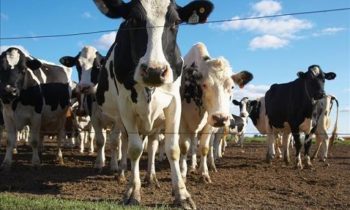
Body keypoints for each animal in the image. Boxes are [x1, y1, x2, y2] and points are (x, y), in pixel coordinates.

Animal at [91, 0, 215, 207]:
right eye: (133, 20)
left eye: (176, 22)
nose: (154, 71)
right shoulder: (126, 106)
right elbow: (134, 149)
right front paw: (133, 192)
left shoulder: (174, 103)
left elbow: (172, 149)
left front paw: (182, 194)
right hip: (120, 119)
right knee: (123, 143)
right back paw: (122, 173)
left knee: (152, 144)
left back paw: (151, 177)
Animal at [179, 42, 253, 182]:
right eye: (204, 85)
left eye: (232, 86)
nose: (220, 118)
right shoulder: (181, 122)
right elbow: (184, 148)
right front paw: (181, 174)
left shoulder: (209, 125)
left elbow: (204, 148)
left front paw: (204, 173)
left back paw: (208, 165)